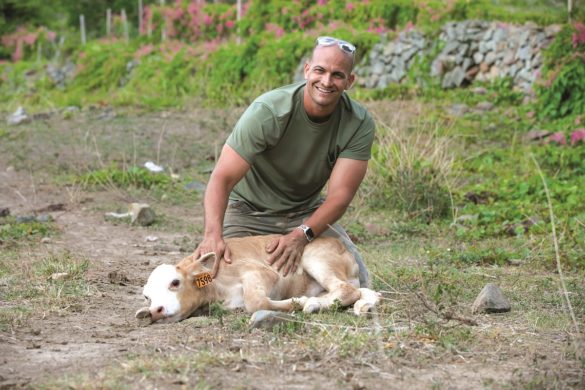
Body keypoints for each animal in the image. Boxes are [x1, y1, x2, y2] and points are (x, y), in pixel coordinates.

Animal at [136, 235, 380, 322]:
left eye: (175, 282)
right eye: (147, 297)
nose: (155, 310)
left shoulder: (260, 271)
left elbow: (255, 302)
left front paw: (298, 302)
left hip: (316, 259)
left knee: (347, 289)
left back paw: (311, 304)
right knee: (361, 291)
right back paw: (364, 306)